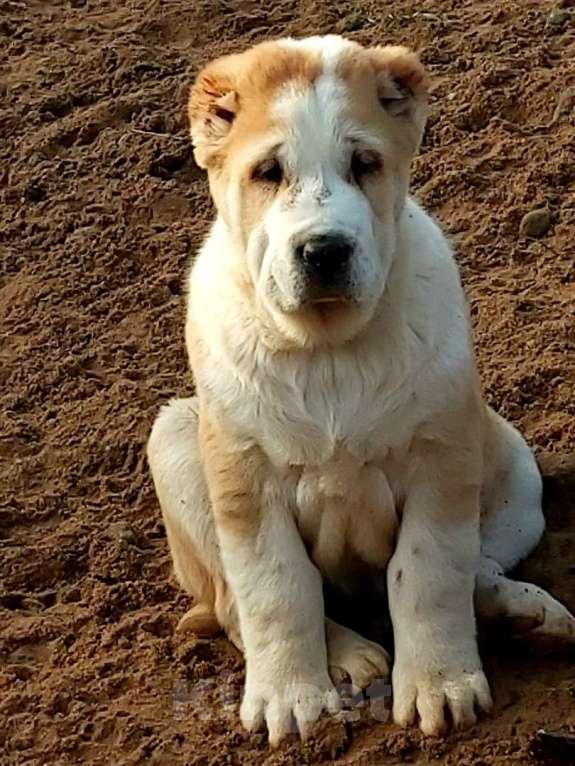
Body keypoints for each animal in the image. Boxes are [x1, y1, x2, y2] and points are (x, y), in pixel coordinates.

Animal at [148, 36, 575, 752]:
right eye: (268, 172)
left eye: (365, 164)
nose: (324, 250)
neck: (326, 350)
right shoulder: (244, 477)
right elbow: (277, 590)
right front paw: (291, 694)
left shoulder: (441, 456)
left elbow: (429, 573)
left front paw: (439, 685)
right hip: (176, 441)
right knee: (234, 606)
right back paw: (350, 659)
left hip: (511, 461)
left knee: (478, 560)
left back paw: (515, 611)